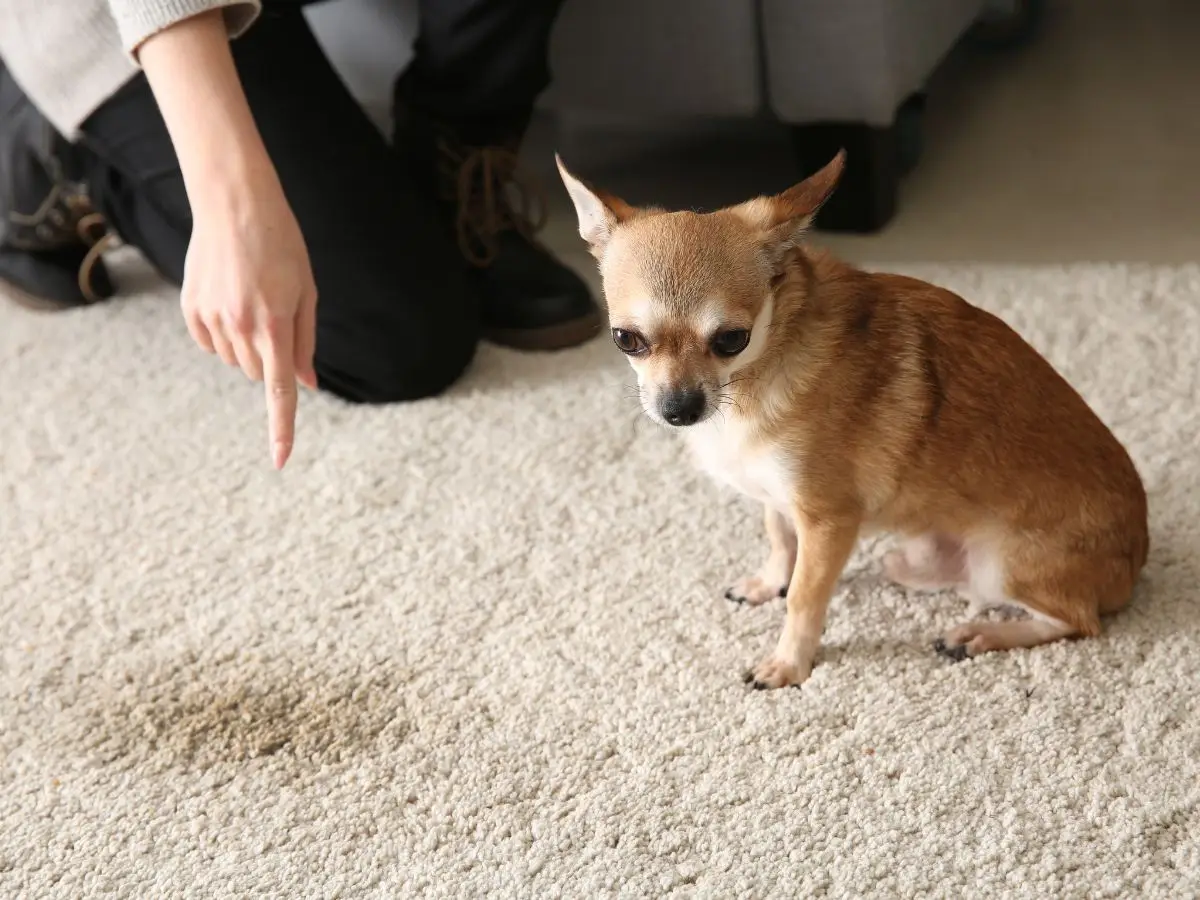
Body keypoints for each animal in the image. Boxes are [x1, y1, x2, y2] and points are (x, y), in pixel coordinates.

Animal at [556, 153, 1147, 691]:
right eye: (625, 339)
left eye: (731, 340)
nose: (679, 408)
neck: (755, 375)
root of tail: (1135, 562)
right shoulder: (779, 497)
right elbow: (779, 539)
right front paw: (768, 582)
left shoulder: (828, 520)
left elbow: (804, 597)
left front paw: (789, 664)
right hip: (913, 560)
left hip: (1003, 564)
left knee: (1078, 622)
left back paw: (982, 634)